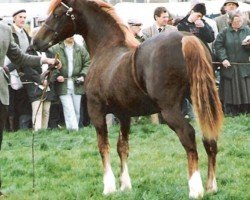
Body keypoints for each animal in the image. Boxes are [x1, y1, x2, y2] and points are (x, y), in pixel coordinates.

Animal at [31, 0, 223, 198]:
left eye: (57, 14)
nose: (35, 42)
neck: (107, 48)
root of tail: (187, 39)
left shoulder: (96, 111)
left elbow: (103, 146)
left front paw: (109, 187)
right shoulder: (124, 115)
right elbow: (122, 147)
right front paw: (125, 185)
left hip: (170, 110)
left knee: (188, 137)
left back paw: (196, 189)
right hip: (200, 102)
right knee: (209, 139)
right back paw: (211, 186)